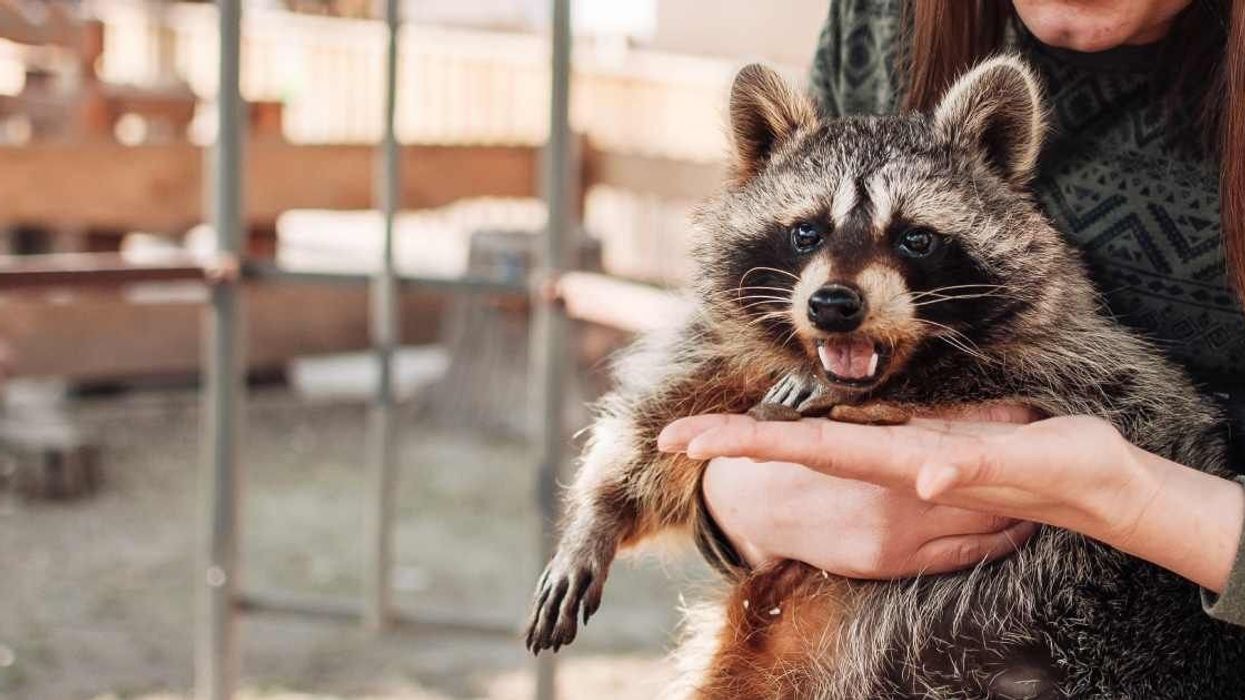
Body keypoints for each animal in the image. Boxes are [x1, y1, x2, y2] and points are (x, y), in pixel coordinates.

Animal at [525, 55, 1245, 698]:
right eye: (806, 232)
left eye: (915, 238)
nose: (833, 305)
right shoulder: (725, 350)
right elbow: (655, 421)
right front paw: (596, 516)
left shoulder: (1094, 363)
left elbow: (1064, 386)